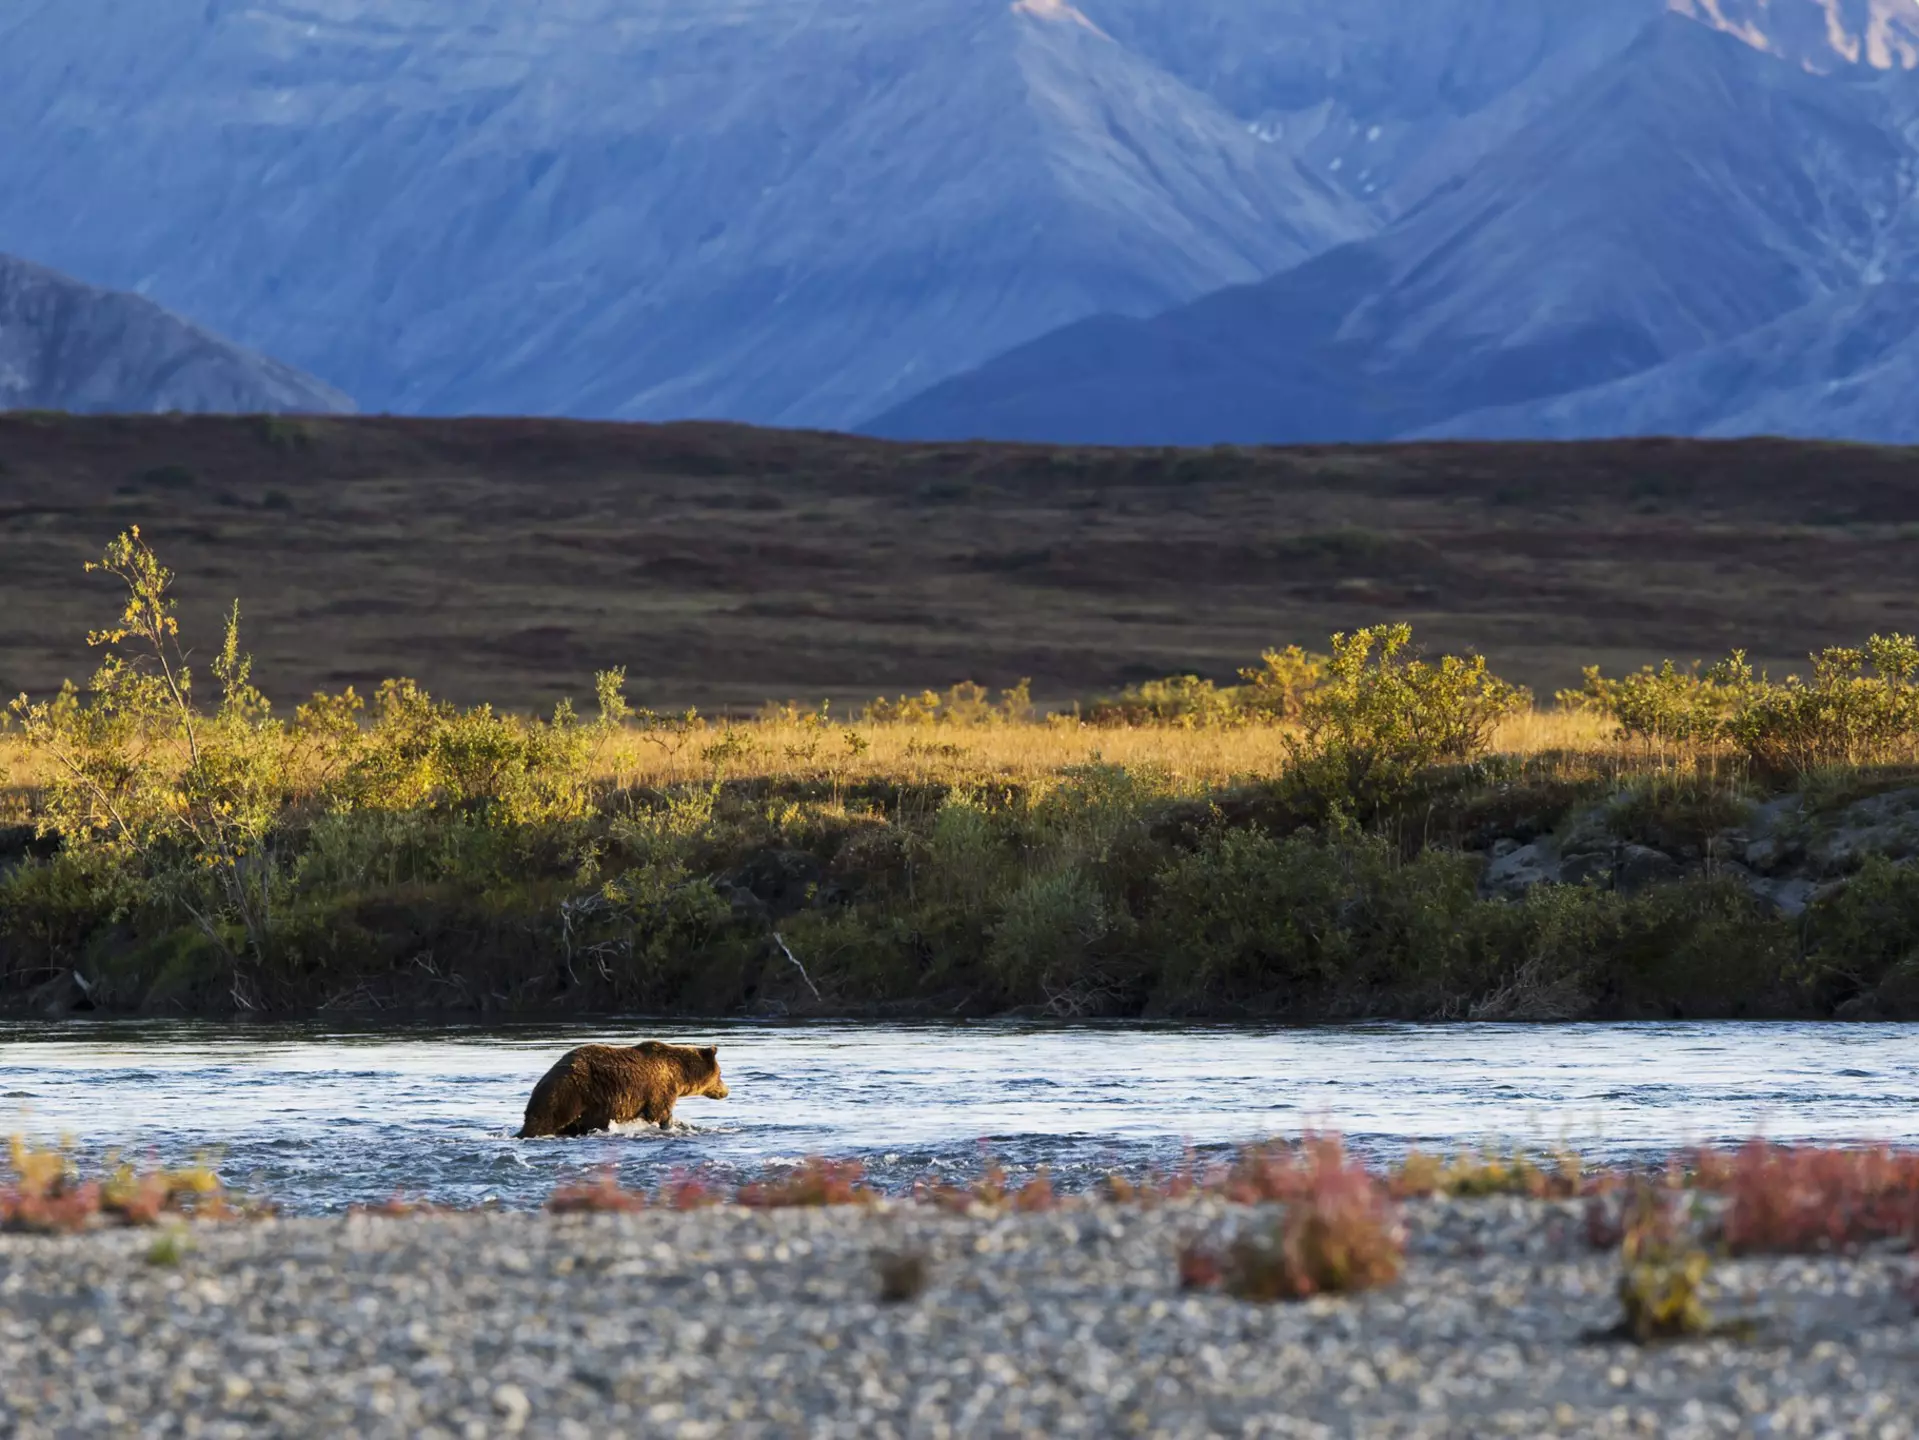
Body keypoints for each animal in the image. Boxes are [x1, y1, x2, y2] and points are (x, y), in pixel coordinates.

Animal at [516, 1041, 730, 1138]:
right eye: (720, 1073)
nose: (726, 1091)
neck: (678, 1073)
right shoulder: (659, 1090)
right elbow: (660, 1114)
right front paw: (669, 1126)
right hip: (567, 1093)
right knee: (546, 1120)